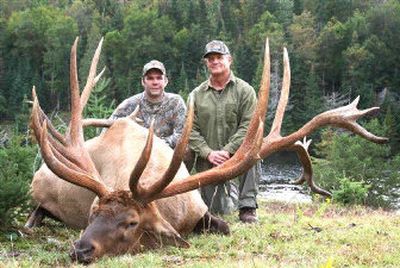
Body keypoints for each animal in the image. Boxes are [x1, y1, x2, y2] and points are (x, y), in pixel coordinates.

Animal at [25, 37, 388, 264]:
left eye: (130, 222)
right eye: (92, 213)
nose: (80, 250)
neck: (174, 210)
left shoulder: (202, 212)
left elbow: (225, 227)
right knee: (35, 213)